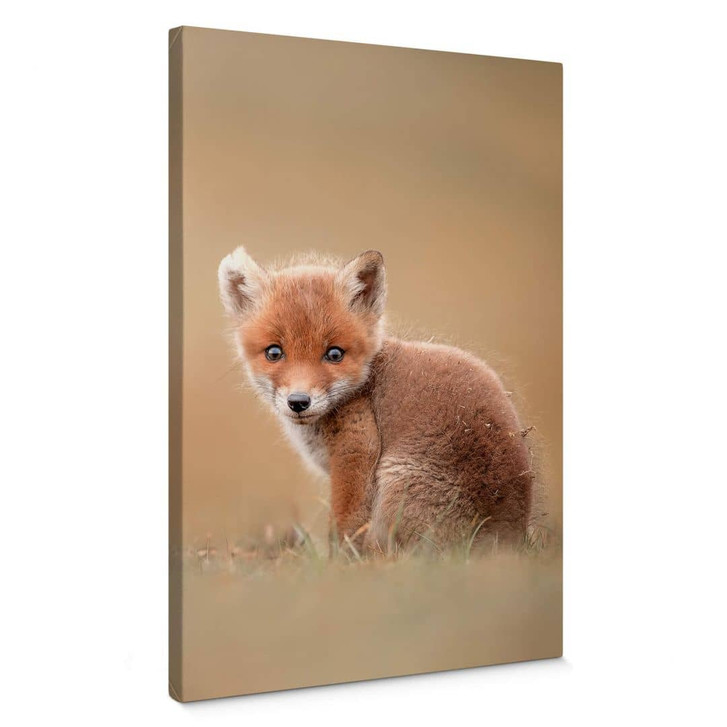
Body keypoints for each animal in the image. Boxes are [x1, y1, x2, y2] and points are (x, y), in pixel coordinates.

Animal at [218, 247, 534, 552]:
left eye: (335, 354)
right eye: (274, 352)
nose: (298, 401)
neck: (364, 384)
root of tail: (507, 539)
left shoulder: (357, 450)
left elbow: (345, 528)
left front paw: (338, 564)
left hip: (396, 484)